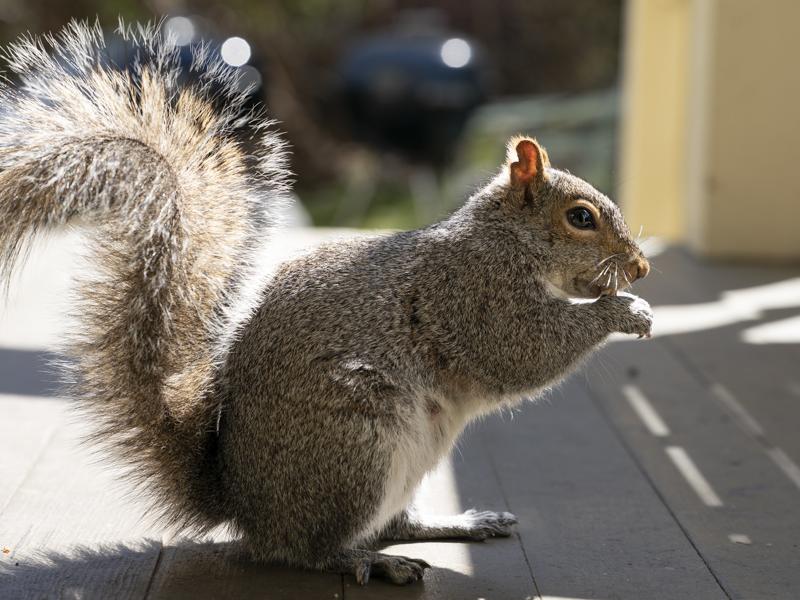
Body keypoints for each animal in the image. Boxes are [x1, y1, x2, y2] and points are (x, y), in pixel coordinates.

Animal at [0, 22, 653, 585]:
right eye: (581, 218)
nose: (641, 266)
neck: (507, 242)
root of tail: (246, 506)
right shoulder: (472, 295)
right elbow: (523, 352)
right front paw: (623, 311)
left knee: (393, 523)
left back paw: (460, 523)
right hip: (356, 447)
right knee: (309, 550)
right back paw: (367, 561)